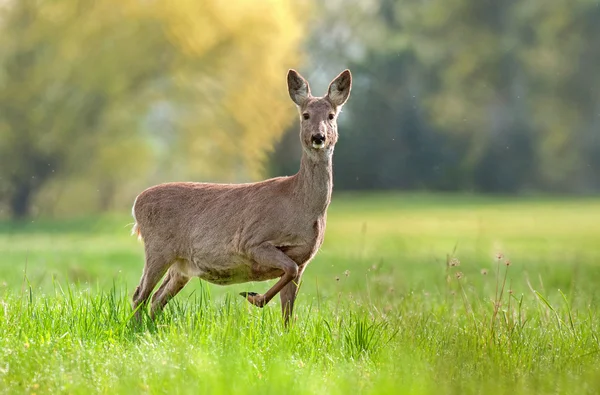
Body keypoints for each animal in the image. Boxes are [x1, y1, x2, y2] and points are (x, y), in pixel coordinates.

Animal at [129, 69, 350, 326]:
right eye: (305, 115)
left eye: (331, 115)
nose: (318, 137)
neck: (302, 206)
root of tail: (136, 203)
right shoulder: (252, 241)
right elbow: (289, 270)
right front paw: (253, 297)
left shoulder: (304, 259)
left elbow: (288, 309)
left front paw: (278, 323)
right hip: (158, 248)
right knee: (139, 295)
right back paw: (136, 329)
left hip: (181, 266)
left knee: (156, 298)